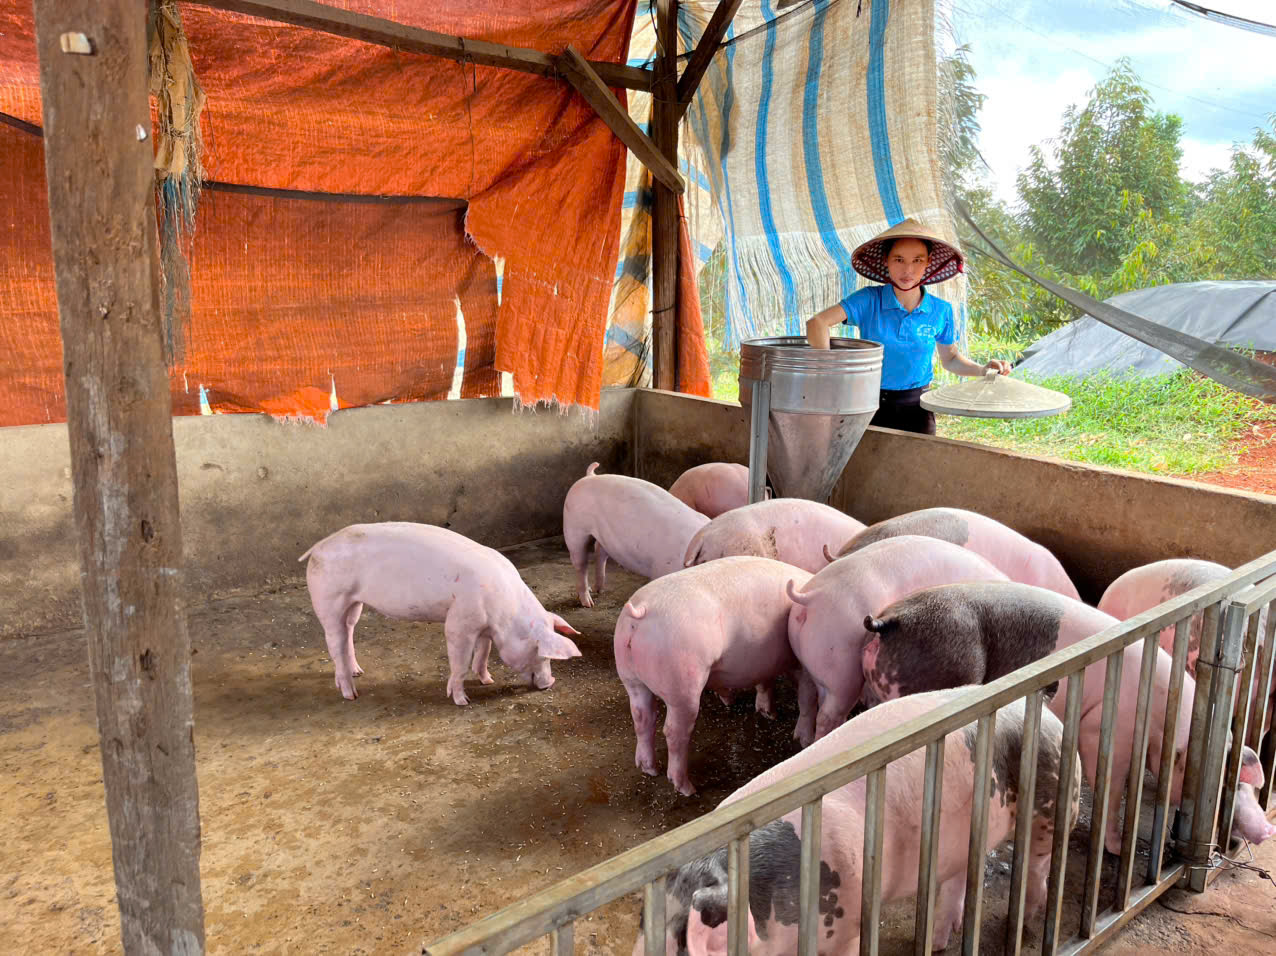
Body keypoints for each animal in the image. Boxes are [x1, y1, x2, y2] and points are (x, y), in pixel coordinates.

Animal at [299, 522, 581, 705]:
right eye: (541, 653)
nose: (550, 682)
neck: (506, 617)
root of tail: (318, 546)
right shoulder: (459, 622)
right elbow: (460, 662)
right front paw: (463, 701)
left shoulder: (483, 626)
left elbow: (483, 652)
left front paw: (487, 681)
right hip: (329, 599)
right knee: (335, 641)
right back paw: (351, 694)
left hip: (353, 603)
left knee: (348, 631)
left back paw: (358, 671)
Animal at [563, 463, 710, 608]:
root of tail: (590, 476)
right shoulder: (662, 568)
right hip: (574, 528)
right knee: (581, 563)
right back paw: (588, 603)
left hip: (603, 535)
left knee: (599, 551)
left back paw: (599, 589)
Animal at [614, 556, 814, 796]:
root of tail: (640, 611)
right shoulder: (800, 663)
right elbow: (805, 694)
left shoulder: (765, 661)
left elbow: (765, 683)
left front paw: (769, 714)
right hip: (683, 683)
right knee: (674, 732)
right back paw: (687, 788)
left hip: (630, 676)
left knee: (642, 717)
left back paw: (649, 769)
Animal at [632, 688, 1081, 955]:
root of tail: (1046, 710)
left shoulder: (848, 917)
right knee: (958, 877)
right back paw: (938, 941)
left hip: (1054, 793)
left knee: (1038, 865)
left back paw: (1027, 920)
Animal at [786, 536, 1009, 745]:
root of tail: (812, 597)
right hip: (842, 668)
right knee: (828, 714)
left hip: (809, 657)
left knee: (805, 692)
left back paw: (802, 739)